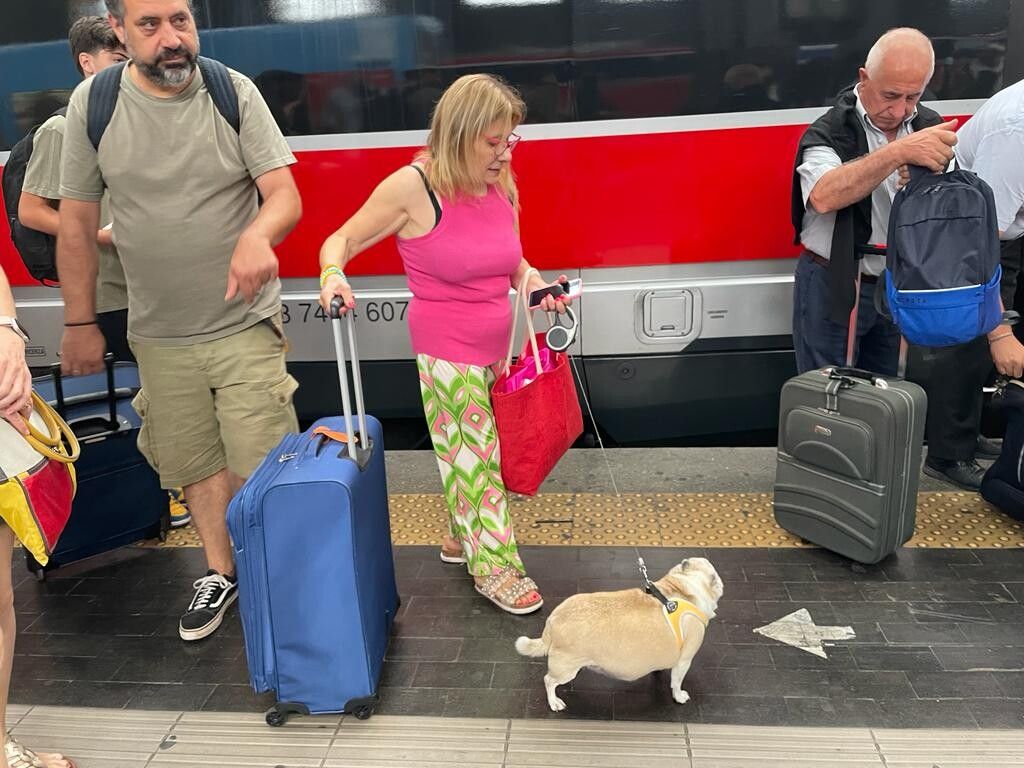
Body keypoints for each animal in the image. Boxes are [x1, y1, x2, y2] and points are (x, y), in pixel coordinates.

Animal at [516, 557, 724, 712]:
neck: (684, 584)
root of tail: (553, 619)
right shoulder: (684, 661)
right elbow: (677, 682)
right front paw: (679, 696)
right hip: (564, 669)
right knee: (549, 681)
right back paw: (554, 702)